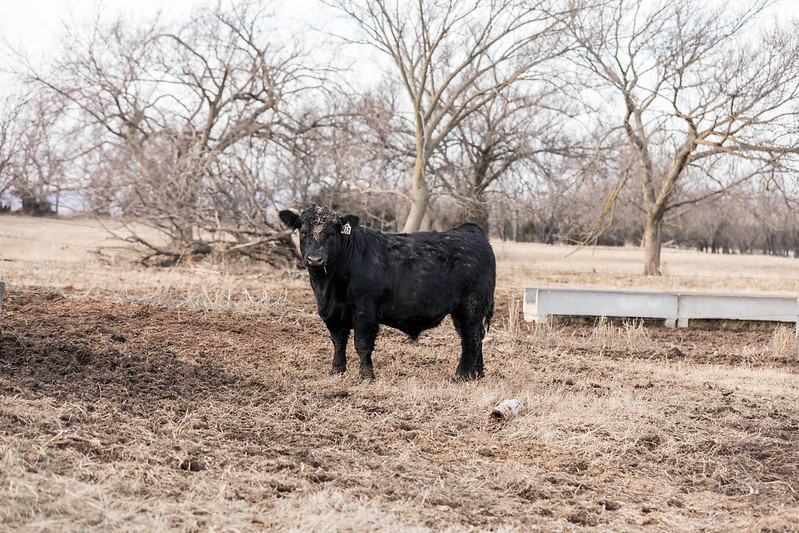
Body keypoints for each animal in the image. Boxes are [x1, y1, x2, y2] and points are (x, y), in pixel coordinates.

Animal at [280, 205, 494, 382]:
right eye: (303, 232)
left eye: (331, 233)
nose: (315, 259)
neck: (327, 287)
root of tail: (469, 230)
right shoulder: (332, 312)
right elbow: (338, 341)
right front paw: (336, 371)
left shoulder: (365, 310)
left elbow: (361, 344)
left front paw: (366, 377)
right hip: (462, 310)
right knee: (474, 336)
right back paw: (477, 373)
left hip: (471, 305)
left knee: (471, 337)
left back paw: (461, 375)